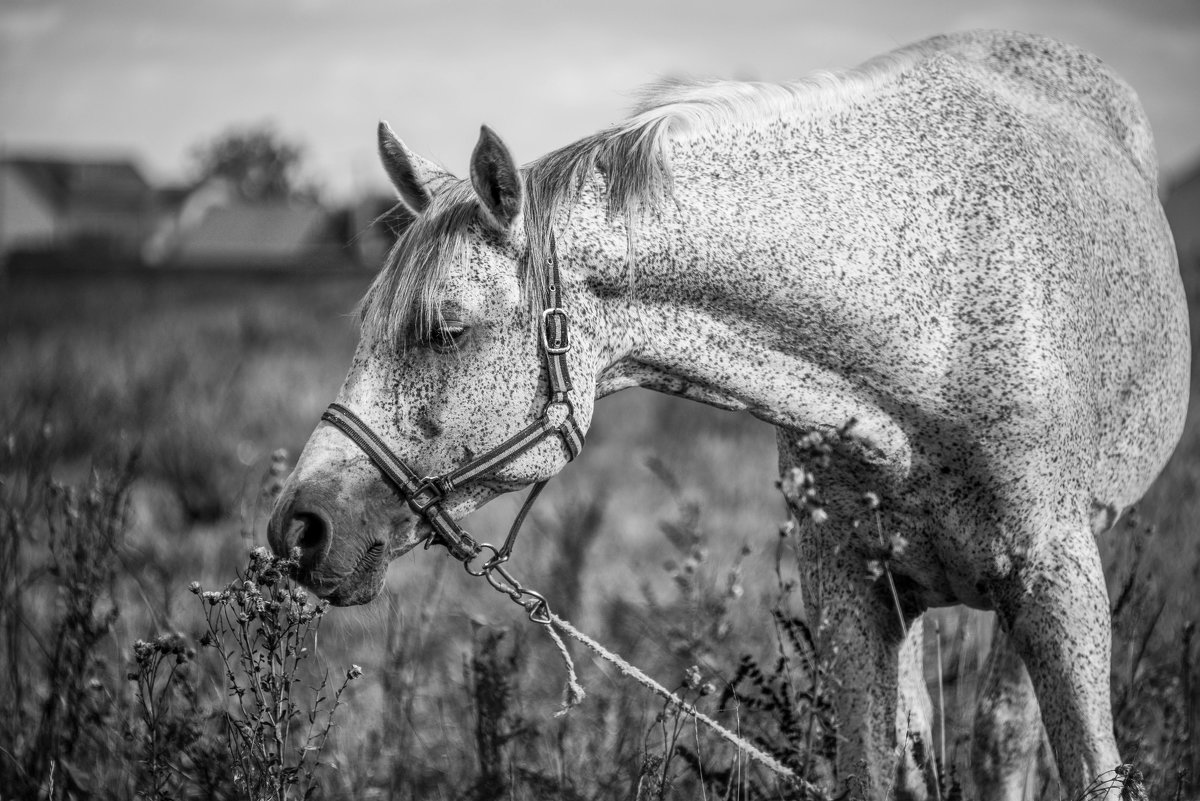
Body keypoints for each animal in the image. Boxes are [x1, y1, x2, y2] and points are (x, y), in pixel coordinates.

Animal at [267, 28, 1185, 796]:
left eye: (447, 329)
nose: (298, 528)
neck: (933, 321)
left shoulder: (1058, 584)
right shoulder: (850, 592)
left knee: (1002, 735)